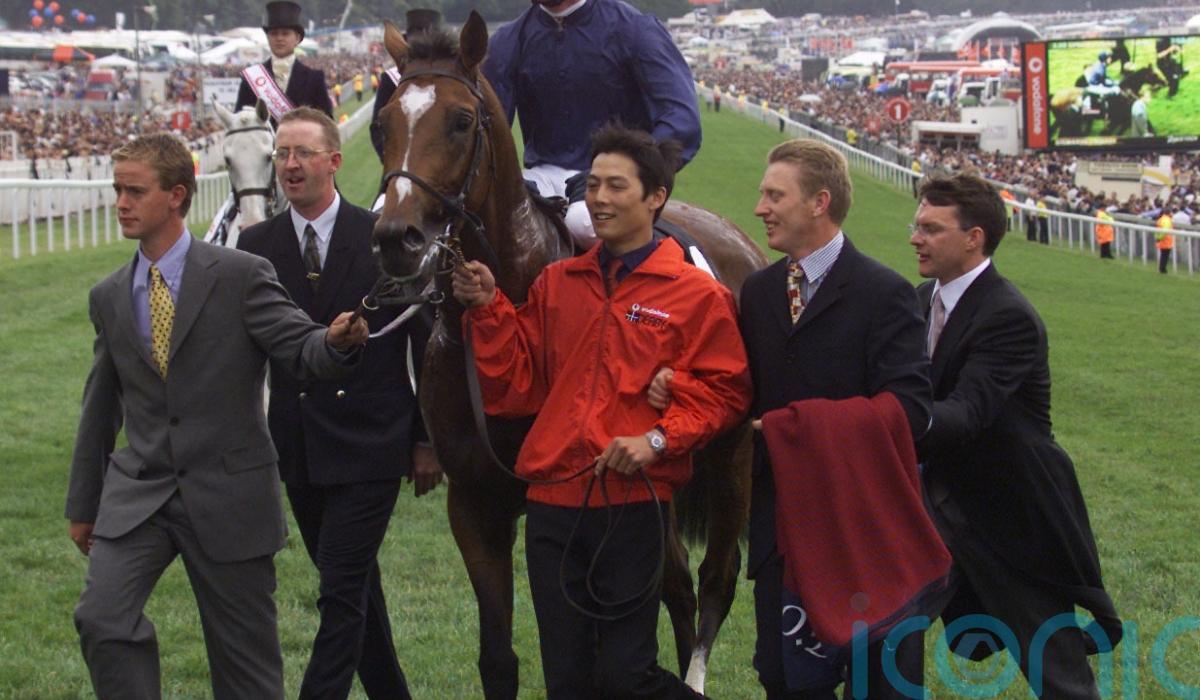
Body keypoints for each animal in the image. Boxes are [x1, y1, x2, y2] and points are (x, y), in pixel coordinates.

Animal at [370, 12, 766, 698]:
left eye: (461, 121)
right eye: (383, 124)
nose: (398, 237)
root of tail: (740, 240)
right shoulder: (475, 501)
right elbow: (499, 659)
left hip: (729, 453)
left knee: (713, 578)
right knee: (679, 584)